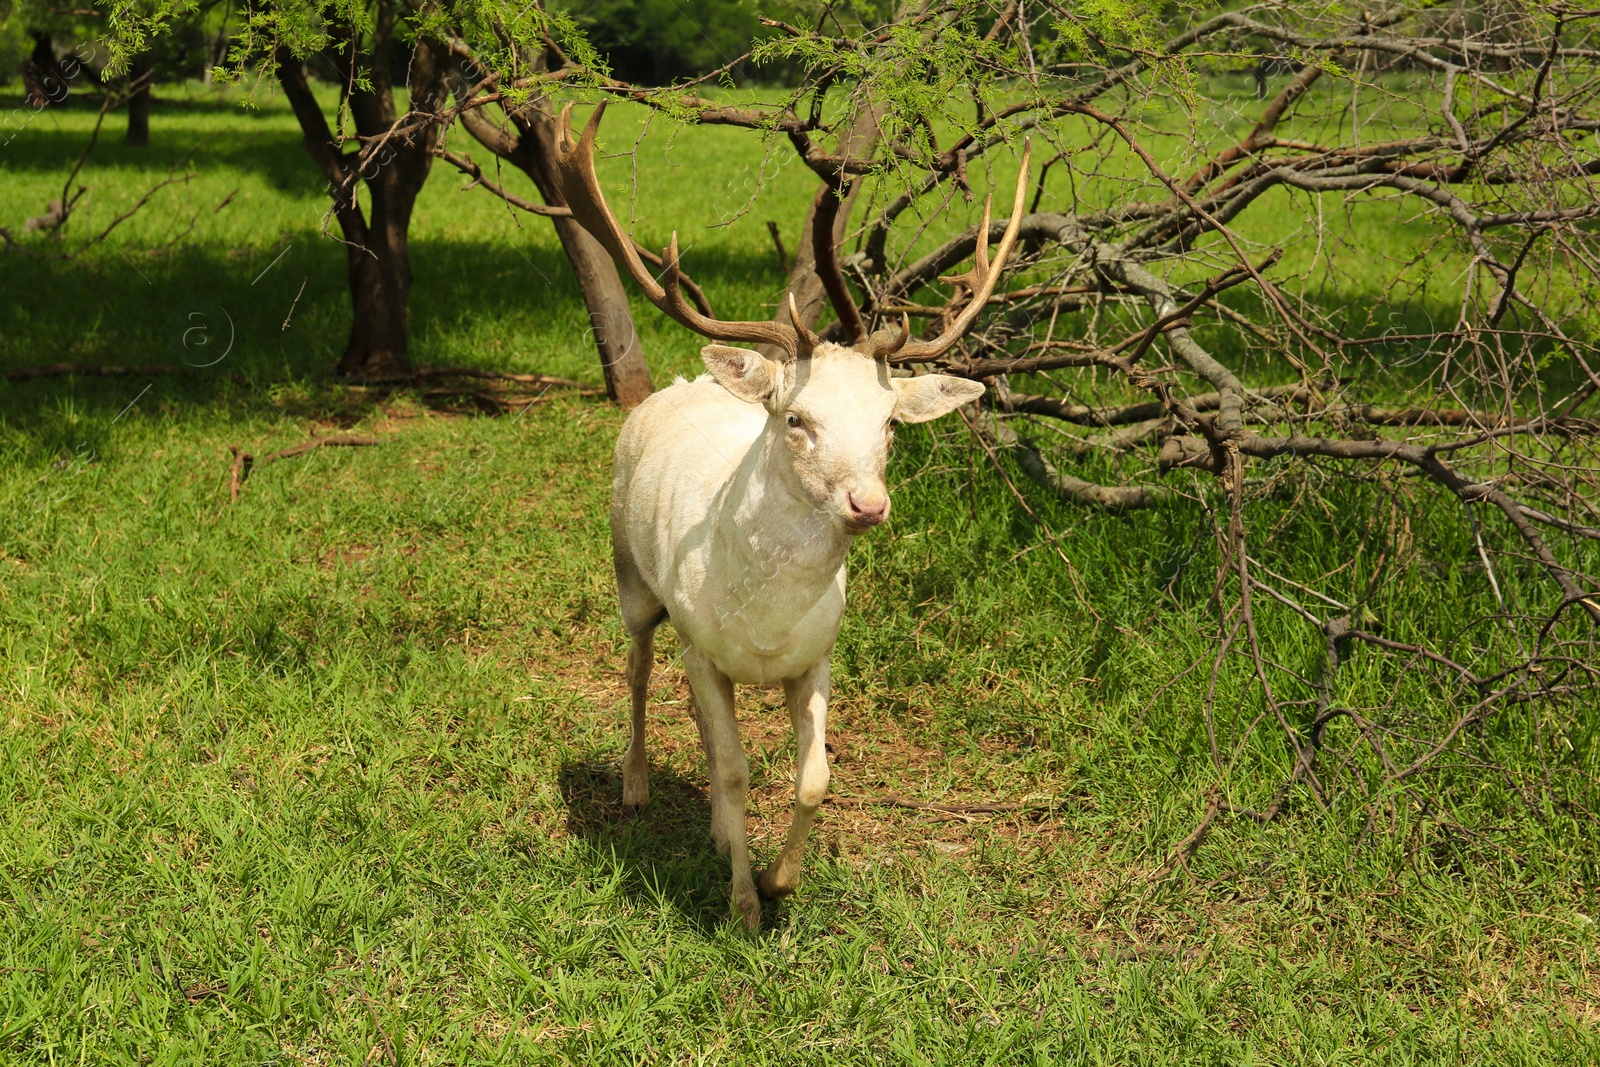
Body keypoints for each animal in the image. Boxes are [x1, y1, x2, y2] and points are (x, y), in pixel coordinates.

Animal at [553, 103, 1024, 927]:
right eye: (797, 418)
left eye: (890, 423)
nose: (868, 503)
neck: (764, 628)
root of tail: (677, 383)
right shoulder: (702, 644)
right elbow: (738, 771)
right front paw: (743, 904)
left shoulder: (816, 656)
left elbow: (811, 778)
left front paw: (779, 880)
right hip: (630, 576)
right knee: (638, 669)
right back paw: (636, 783)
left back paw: (715, 831)